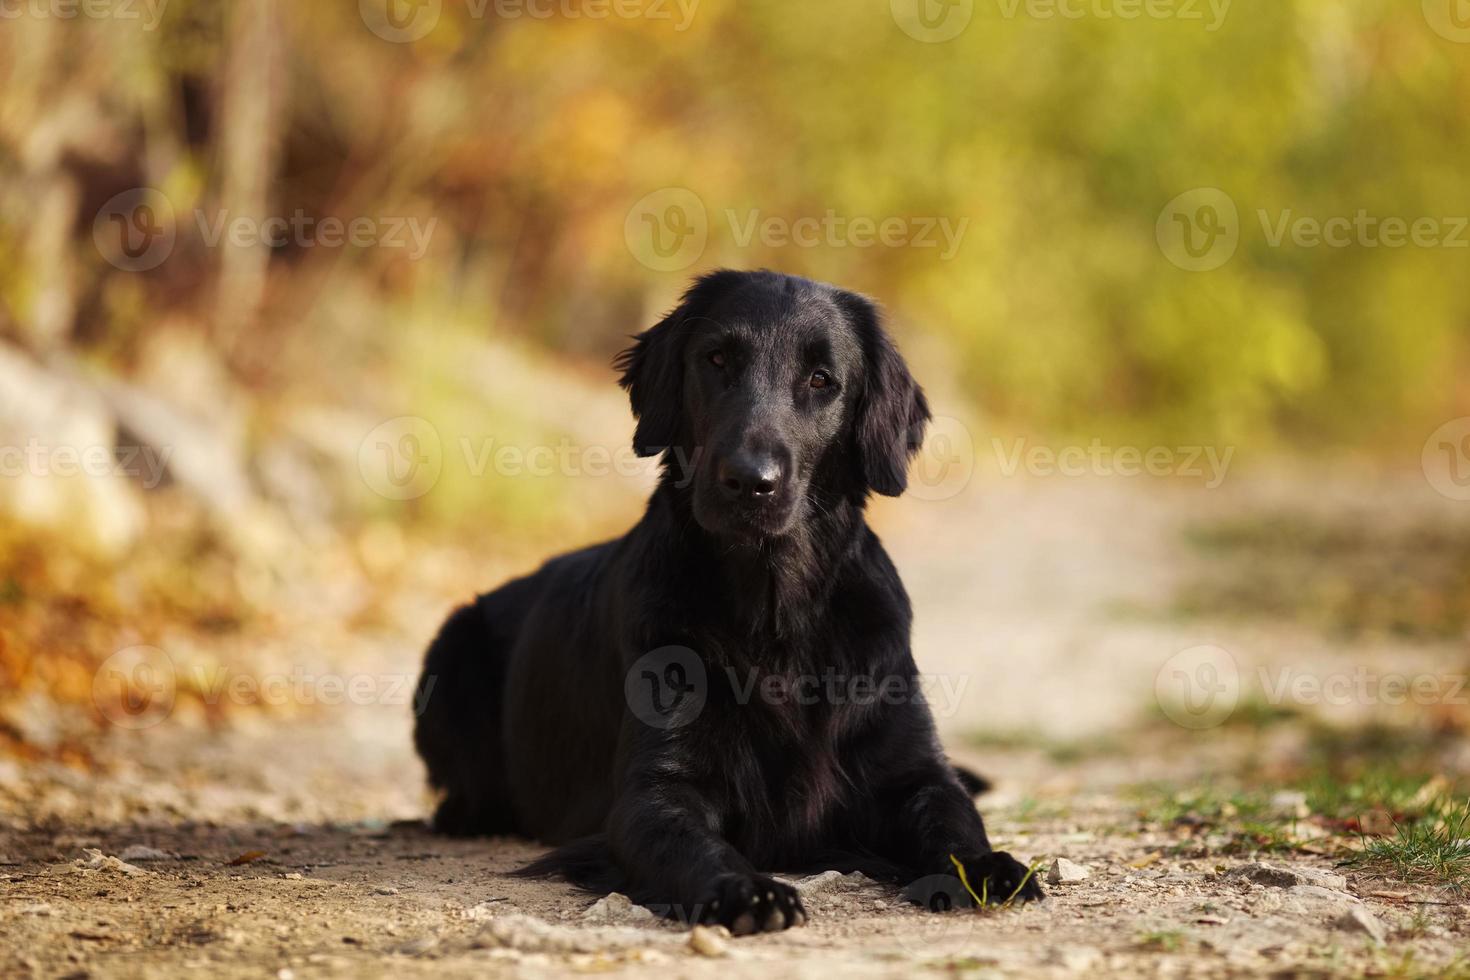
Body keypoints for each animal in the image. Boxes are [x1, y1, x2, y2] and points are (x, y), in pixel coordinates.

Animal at [408, 268, 1040, 934]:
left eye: (821, 379)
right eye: (716, 360)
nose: (749, 481)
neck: (774, 609)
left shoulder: (910, 769)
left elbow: (952, 815)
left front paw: (989, 867)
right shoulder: (655, 794)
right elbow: (696, 843)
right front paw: (748, 890)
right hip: (450, 650)